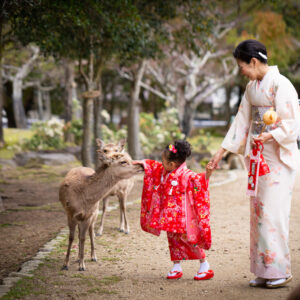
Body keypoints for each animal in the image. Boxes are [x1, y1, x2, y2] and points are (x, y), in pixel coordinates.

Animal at [59, 144, 144, 272]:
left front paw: (82, 265)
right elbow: (71, 237)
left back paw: (92, 256)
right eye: (123, 161)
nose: (141, 165)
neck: (82, 198)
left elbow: (83, 237)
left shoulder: (89, 214)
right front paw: (65, 264)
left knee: (90, 232)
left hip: (94, 212)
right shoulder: (70, 213)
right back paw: (78, 257)